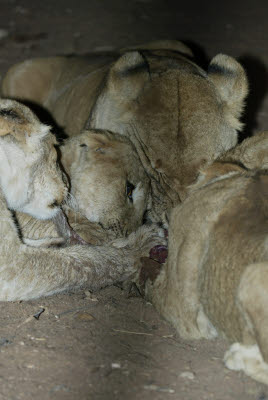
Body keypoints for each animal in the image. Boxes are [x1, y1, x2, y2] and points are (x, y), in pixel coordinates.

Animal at [0, 99, 164, 300]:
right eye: (128, 190)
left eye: (146, 210)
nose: (65, 182)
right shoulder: (11, 265)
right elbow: (94, 259)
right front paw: (139, 244)